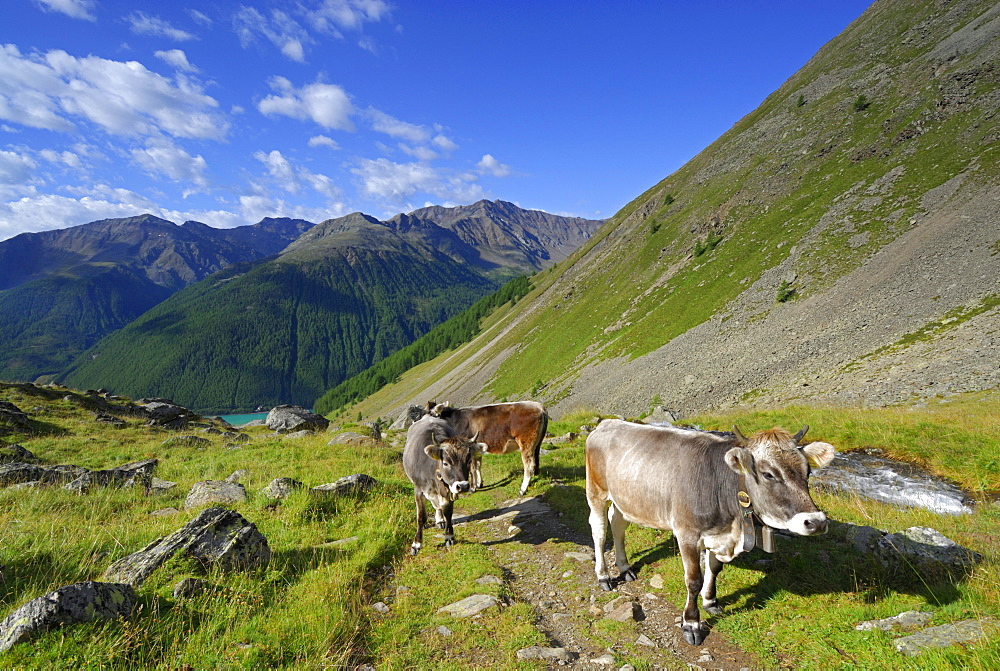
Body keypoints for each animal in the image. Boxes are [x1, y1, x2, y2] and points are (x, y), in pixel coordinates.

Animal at [404, 418, 486, 552]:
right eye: (446, 463)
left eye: (468, 461)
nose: (463, 486)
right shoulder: (418, 490)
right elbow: (421, 517)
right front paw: (416, 544)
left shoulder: (450, 490)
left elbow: (448, 513)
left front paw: (449, 536)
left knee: (438, 507)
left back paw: (440, 520)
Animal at [584, 420, 836, 644]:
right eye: (768, 474)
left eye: (808, 471)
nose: (816, 522)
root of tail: (607, 423)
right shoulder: (687, 533)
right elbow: (694, 579)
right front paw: (691, 623)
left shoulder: (718, 535)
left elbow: (714, 569)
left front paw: (710, 601)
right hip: (596, 491)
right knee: (600, 530)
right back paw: (604, 576)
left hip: (624, 500)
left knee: (617, 525)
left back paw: (625, 568)